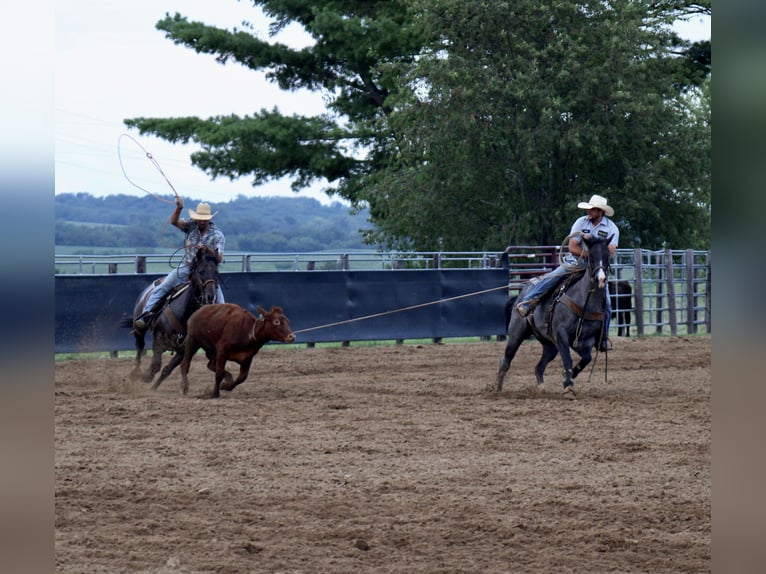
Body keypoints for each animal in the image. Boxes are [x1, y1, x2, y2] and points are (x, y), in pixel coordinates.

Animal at [118, 246, 219, 388]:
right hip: (139, 328)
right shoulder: (158, 341)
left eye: (216, 272)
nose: (211, 296)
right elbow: (155, 365)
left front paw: (153, 387)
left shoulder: (183, 350)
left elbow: (167, 369)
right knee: (139, 347)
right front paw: (145, 377)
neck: (183, 315)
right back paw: (134, 372)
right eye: (201, 271)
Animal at [498, 234, 612, 400]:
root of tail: (520, 295)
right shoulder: (561, 335)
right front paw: (568, 386)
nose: (601, 279)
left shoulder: (586, 340)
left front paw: (573, 375)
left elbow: (587, 358)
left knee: (539, 367)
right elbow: (567, 359)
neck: (583, 300)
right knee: (505, 361)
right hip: (516, 334)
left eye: (607, 256)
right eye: (591, 257)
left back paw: (541, 388)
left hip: (550, 345)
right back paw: (497, 389)